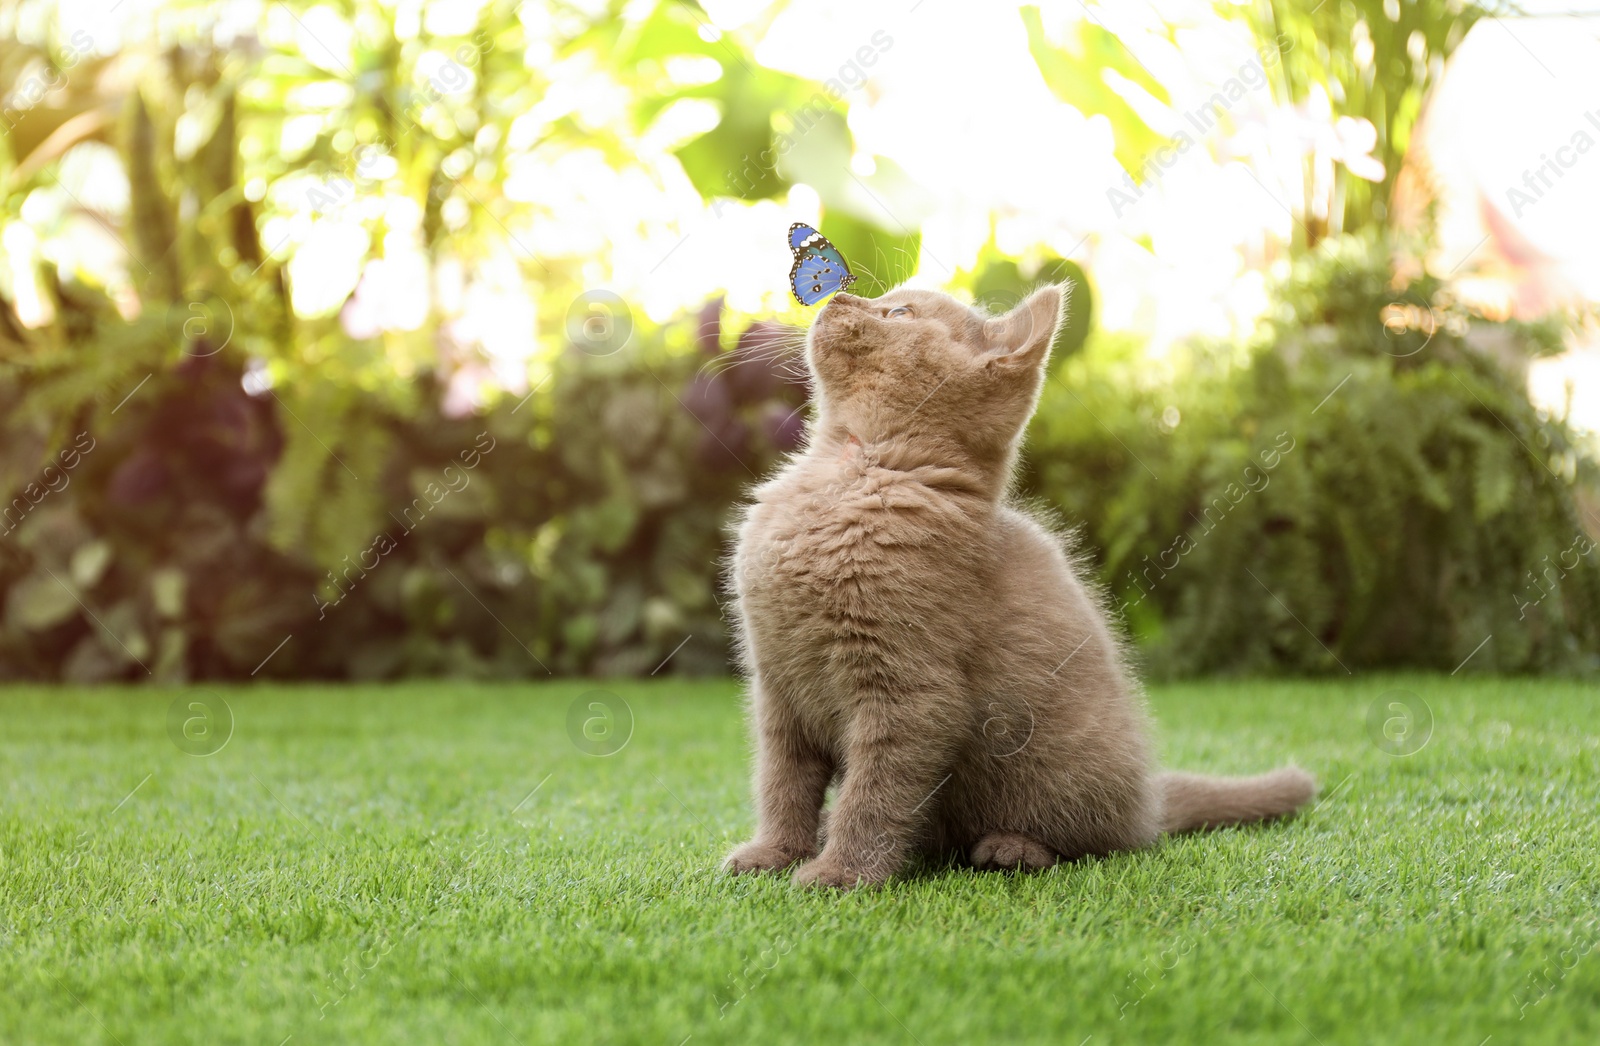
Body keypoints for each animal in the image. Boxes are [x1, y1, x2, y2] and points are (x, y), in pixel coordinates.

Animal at [723, 283, 1312, 889]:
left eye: (899, 312)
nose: (837, 296)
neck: (849, 473)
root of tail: (1150, 801)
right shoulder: (776, 686)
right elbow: (782, 781)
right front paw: (774, 853)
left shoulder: (910, 695)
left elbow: (874, 794)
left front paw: (841, 872)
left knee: (1095, 840)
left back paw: (1012, 848)